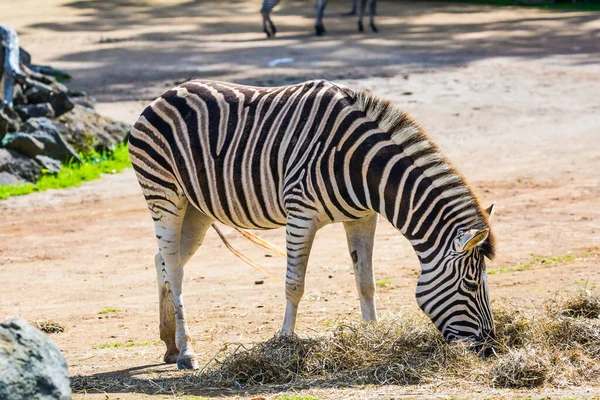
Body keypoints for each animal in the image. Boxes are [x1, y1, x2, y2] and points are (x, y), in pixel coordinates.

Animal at [130, 79, 496, 370]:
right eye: (470, 286)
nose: (492, 349)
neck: (360, 165)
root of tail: (165, 94)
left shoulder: (363, 217)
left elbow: (366, 282)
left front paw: (373, 336)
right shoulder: (301, 214)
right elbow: (295, 284)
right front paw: (284, 343)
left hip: (197, 209)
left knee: (163, 260)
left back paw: (170, 343)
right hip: (164, 194)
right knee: (174, 269)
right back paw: (186, 352)